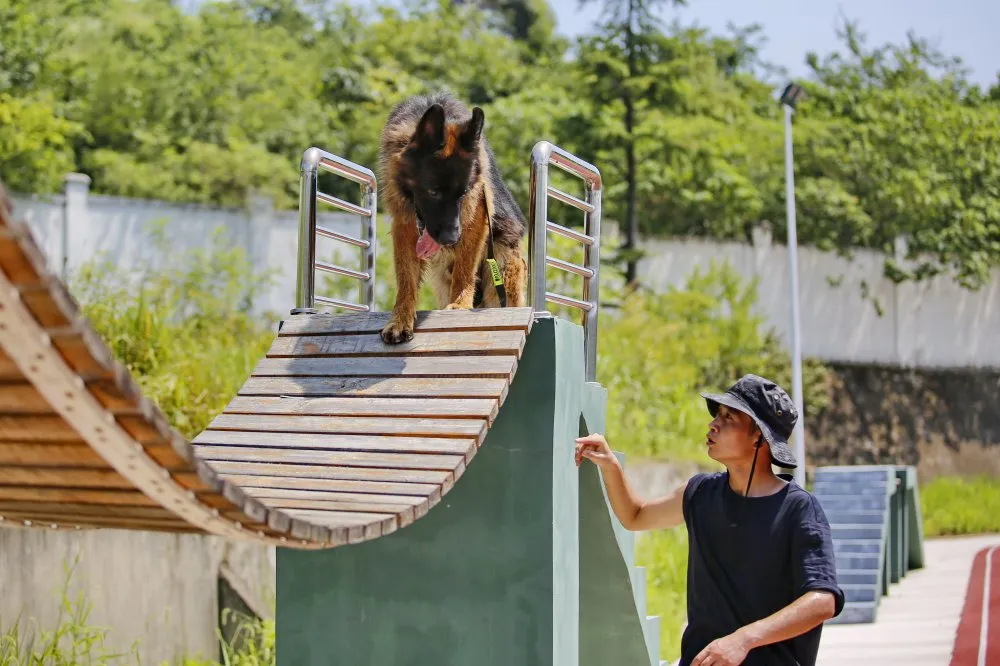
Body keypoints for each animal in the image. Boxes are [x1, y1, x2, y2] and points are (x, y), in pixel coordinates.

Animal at [376, 91, 532, 344]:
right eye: (433, 192)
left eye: (463, 192)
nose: (450, 239)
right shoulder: (404, 223)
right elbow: (406, 277)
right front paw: (400, 319)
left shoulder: (476, 214)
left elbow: (464, 268)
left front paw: (460, 304)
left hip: (502, 266)